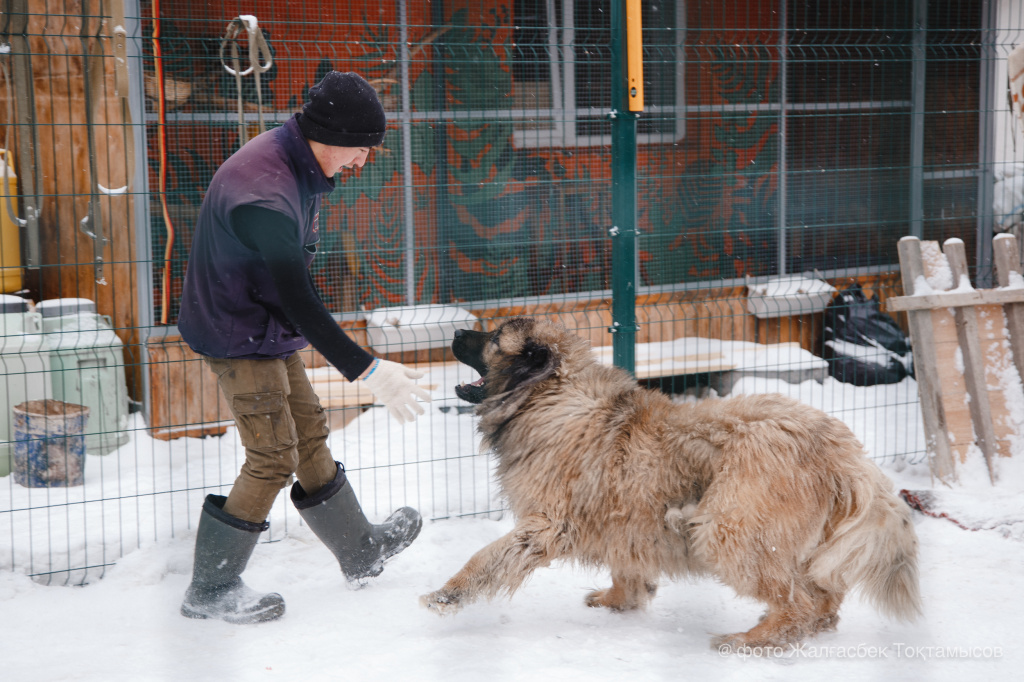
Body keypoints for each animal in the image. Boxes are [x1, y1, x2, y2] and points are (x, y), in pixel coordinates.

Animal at [419, 315, 925, 647]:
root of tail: (840, 450)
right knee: (823, 592)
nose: (456, 332)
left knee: (797, 598)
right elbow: (626, 567)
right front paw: (620, 599)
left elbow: (488, 557)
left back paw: (755, 639)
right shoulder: (625, 516)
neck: (549, 397)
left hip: (727, 528)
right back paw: (807, 625)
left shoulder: (546, 524)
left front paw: (447, 595)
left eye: (493, 338)